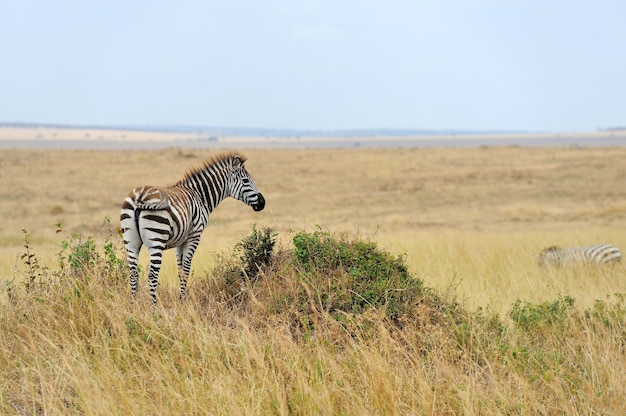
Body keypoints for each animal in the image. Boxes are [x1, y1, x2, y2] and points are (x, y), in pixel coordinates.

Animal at [119, 151, 264, 304]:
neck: (201, 196)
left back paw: (134, 306)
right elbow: (186, 270)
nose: (262, 203)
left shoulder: (180, 241)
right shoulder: (194, 237)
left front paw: (180, 300)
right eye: (246, 181)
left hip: (130, 241)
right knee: (152, 276)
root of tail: (139, 196)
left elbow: (180, 270)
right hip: (156, 238)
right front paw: (183, 301)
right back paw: (154, 307)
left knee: (133, 275)